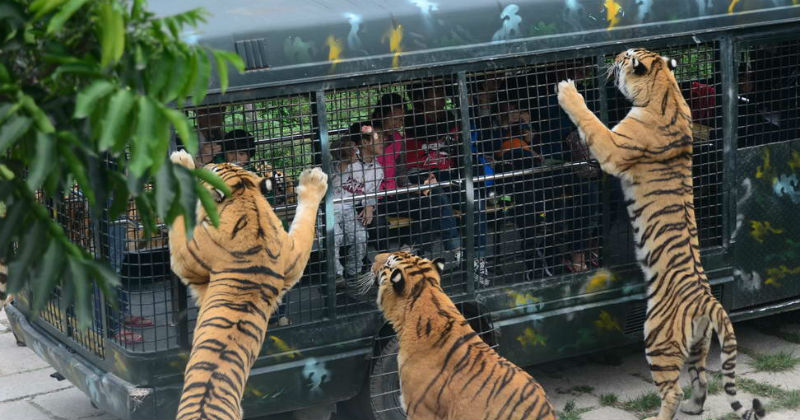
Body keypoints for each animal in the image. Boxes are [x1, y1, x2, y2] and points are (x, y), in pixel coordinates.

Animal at [169, 150, 328, 420]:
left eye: (213, 169)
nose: (213, 160)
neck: (245, 197)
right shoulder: (294, 258)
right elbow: (305, 223)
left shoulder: (183, 258)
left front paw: (181, 161)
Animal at [552, 47, 764, 418]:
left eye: (625, 58)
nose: (614, 56)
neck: (667, 89)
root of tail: (708, 300)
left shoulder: (612, 146)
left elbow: (590, 121)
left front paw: (568, 91)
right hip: (698, 344)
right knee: (701, 379)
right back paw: (694, 408)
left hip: (656, 337)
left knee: (672, 391)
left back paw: (662, 413)